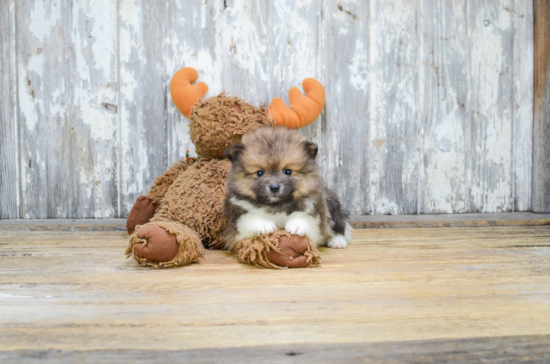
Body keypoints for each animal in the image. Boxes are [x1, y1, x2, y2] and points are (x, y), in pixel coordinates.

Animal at [224, 126, 354, 252]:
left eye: (287, 171)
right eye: (260, 173)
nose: (274, 187)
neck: (276, 206)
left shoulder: (316, 213)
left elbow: (308, 218)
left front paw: (297, 225)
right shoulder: (236, 225)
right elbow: (248, 218)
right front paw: (263, 224)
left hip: (332, 206)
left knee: (339, 228)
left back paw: (337, 242)